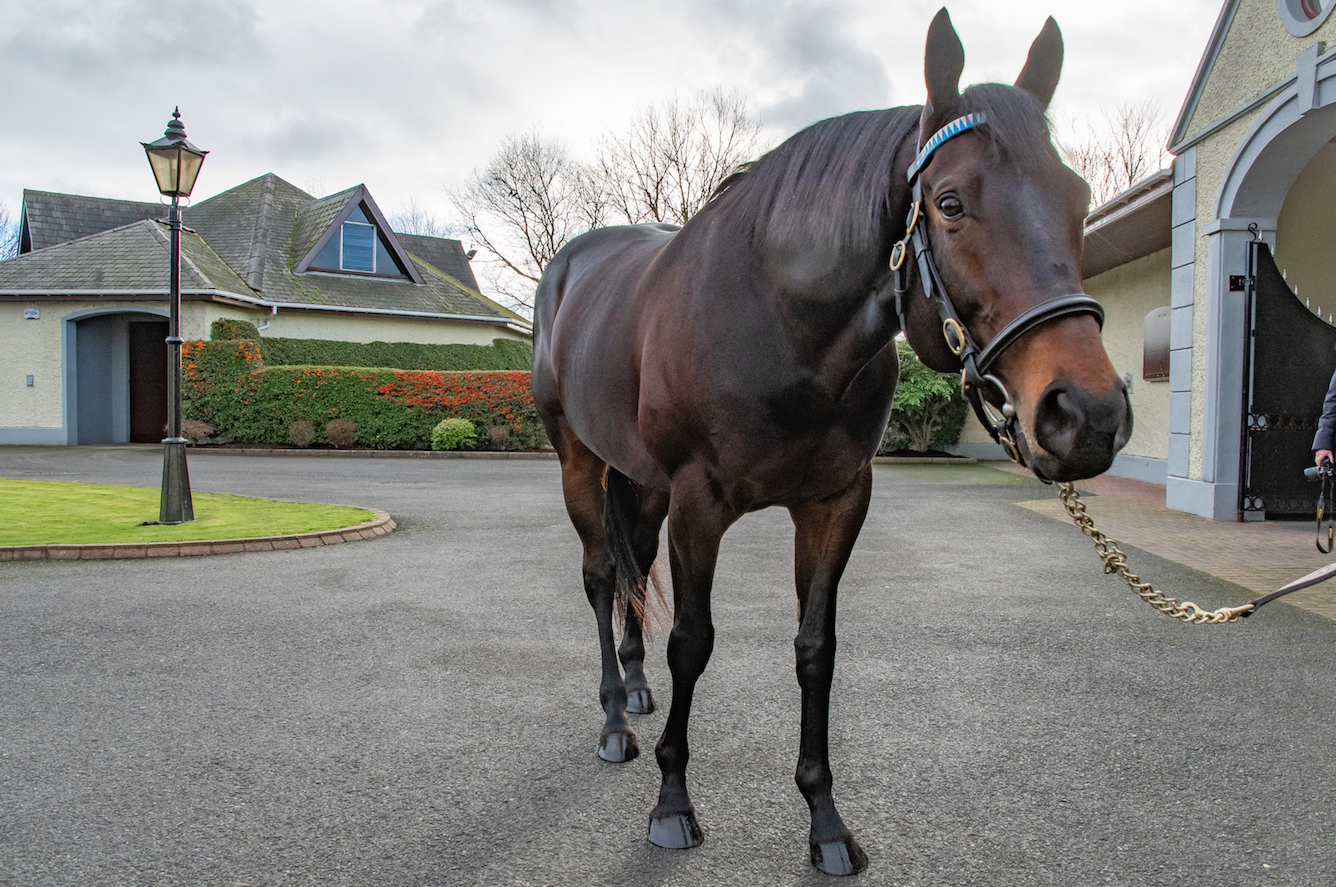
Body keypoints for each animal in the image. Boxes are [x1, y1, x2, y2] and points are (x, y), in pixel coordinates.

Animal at [529, 10, 1127, 876]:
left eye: (1077, 197)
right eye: (951, 202)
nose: (1088, 413)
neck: (777, 319)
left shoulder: (836, 501)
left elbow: (817, 647)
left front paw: (826, 819)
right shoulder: (699, 504)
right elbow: (693, 641)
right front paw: (673, 803)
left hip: (638, 481)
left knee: (632, 569)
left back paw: (634, 691)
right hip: (580, 461)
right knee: (602, 575)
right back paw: (614, 720)